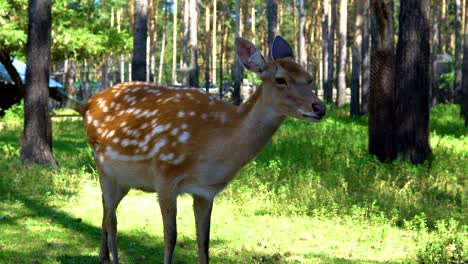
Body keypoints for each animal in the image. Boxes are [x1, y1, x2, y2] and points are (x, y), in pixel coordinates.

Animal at [81, 35, 326, 264]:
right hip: (103, 166)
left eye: (309, 78)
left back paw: (103, 257)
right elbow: (170, 237)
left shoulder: (206, 191)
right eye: (280, 80)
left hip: (124, 180)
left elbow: (204, 241)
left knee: (106, 211)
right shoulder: (165, 176)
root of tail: (87, 103)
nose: (320, 108)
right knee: (111, 219)